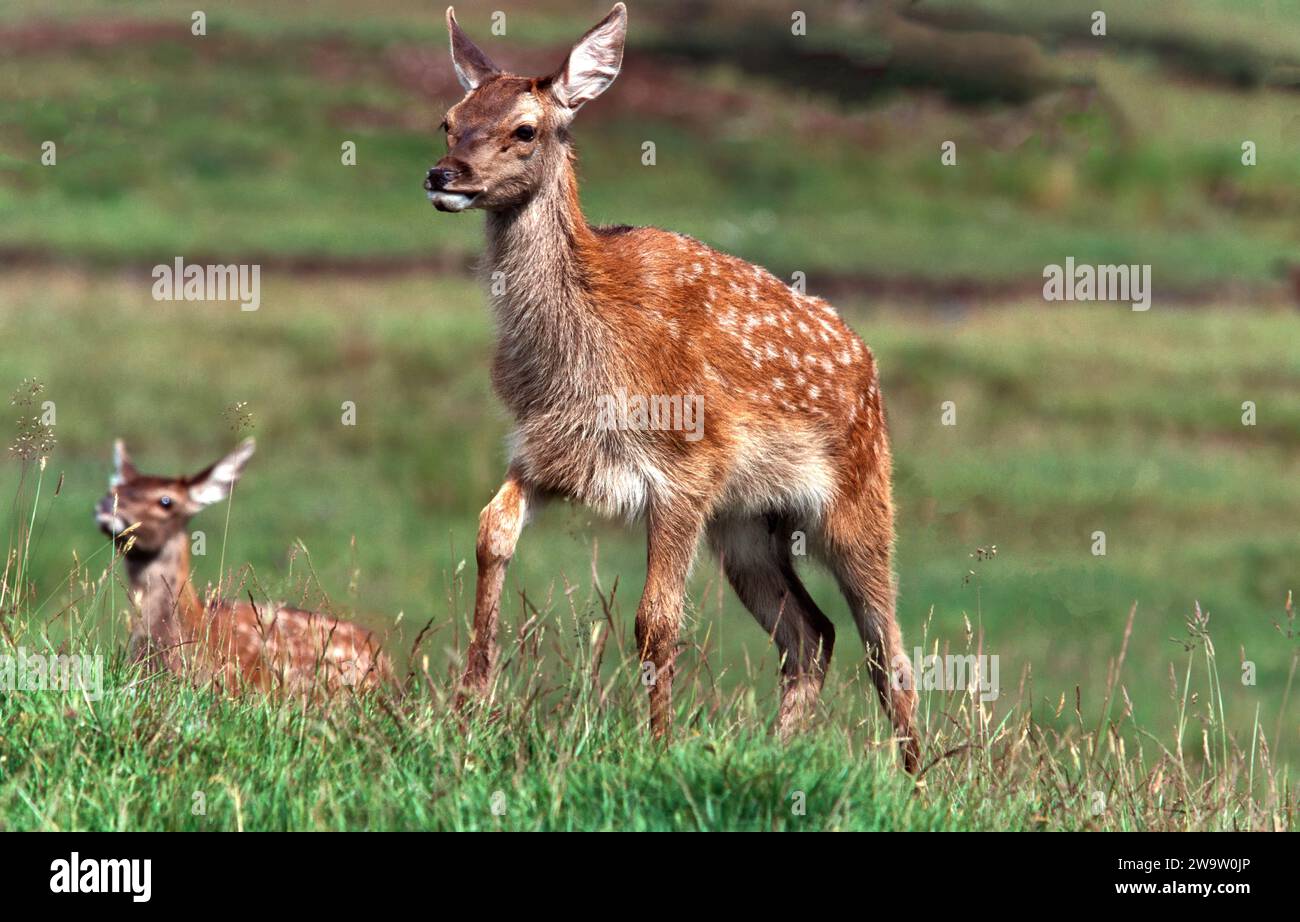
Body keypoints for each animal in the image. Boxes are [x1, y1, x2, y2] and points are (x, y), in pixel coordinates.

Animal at [431, 5, 920, 769]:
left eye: (525, 129)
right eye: (449, 120)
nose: (443, 174)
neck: (584, 359)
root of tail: (867, 361)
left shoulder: (684, 470)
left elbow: (655, 621)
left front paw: (657, 748)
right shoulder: (543, 452)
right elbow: (490, 534)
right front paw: (466, 713)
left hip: (859, 498)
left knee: (888, 651)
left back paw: (915, 781)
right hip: (747, 522)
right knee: (811, 635)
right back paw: (779, 752)